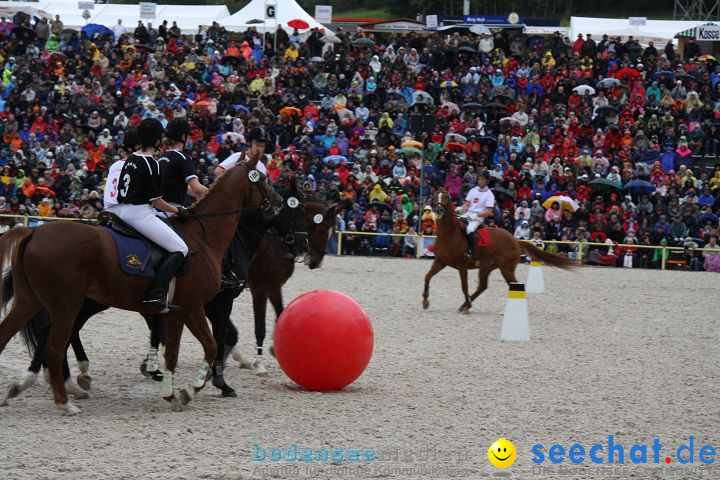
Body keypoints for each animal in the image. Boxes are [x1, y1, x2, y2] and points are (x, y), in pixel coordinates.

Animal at [0, 159, 282, 414]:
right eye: (263, 180)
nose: (278, 201)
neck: (203, 237)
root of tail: (34, 232)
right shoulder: (194, 307)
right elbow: (211, 346)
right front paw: (189, 391)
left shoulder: (178, 311)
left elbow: (173, 353)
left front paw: (171, 392)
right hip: (65, 306)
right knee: (54, 347)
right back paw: (65, 401)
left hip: (32, 301)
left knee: (13, 334)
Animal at [422, 188, 572, 316]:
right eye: (435, 196)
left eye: (446, 197)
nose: (439, 210)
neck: (451, 234)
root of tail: (515, 240)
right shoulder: (440, 261)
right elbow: (427, 277)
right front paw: (425, 301)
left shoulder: (462, 266)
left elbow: (464, 286)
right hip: (486, 267)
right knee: (483, 286)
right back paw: (465, 305)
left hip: (506, 269)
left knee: (514, 285)